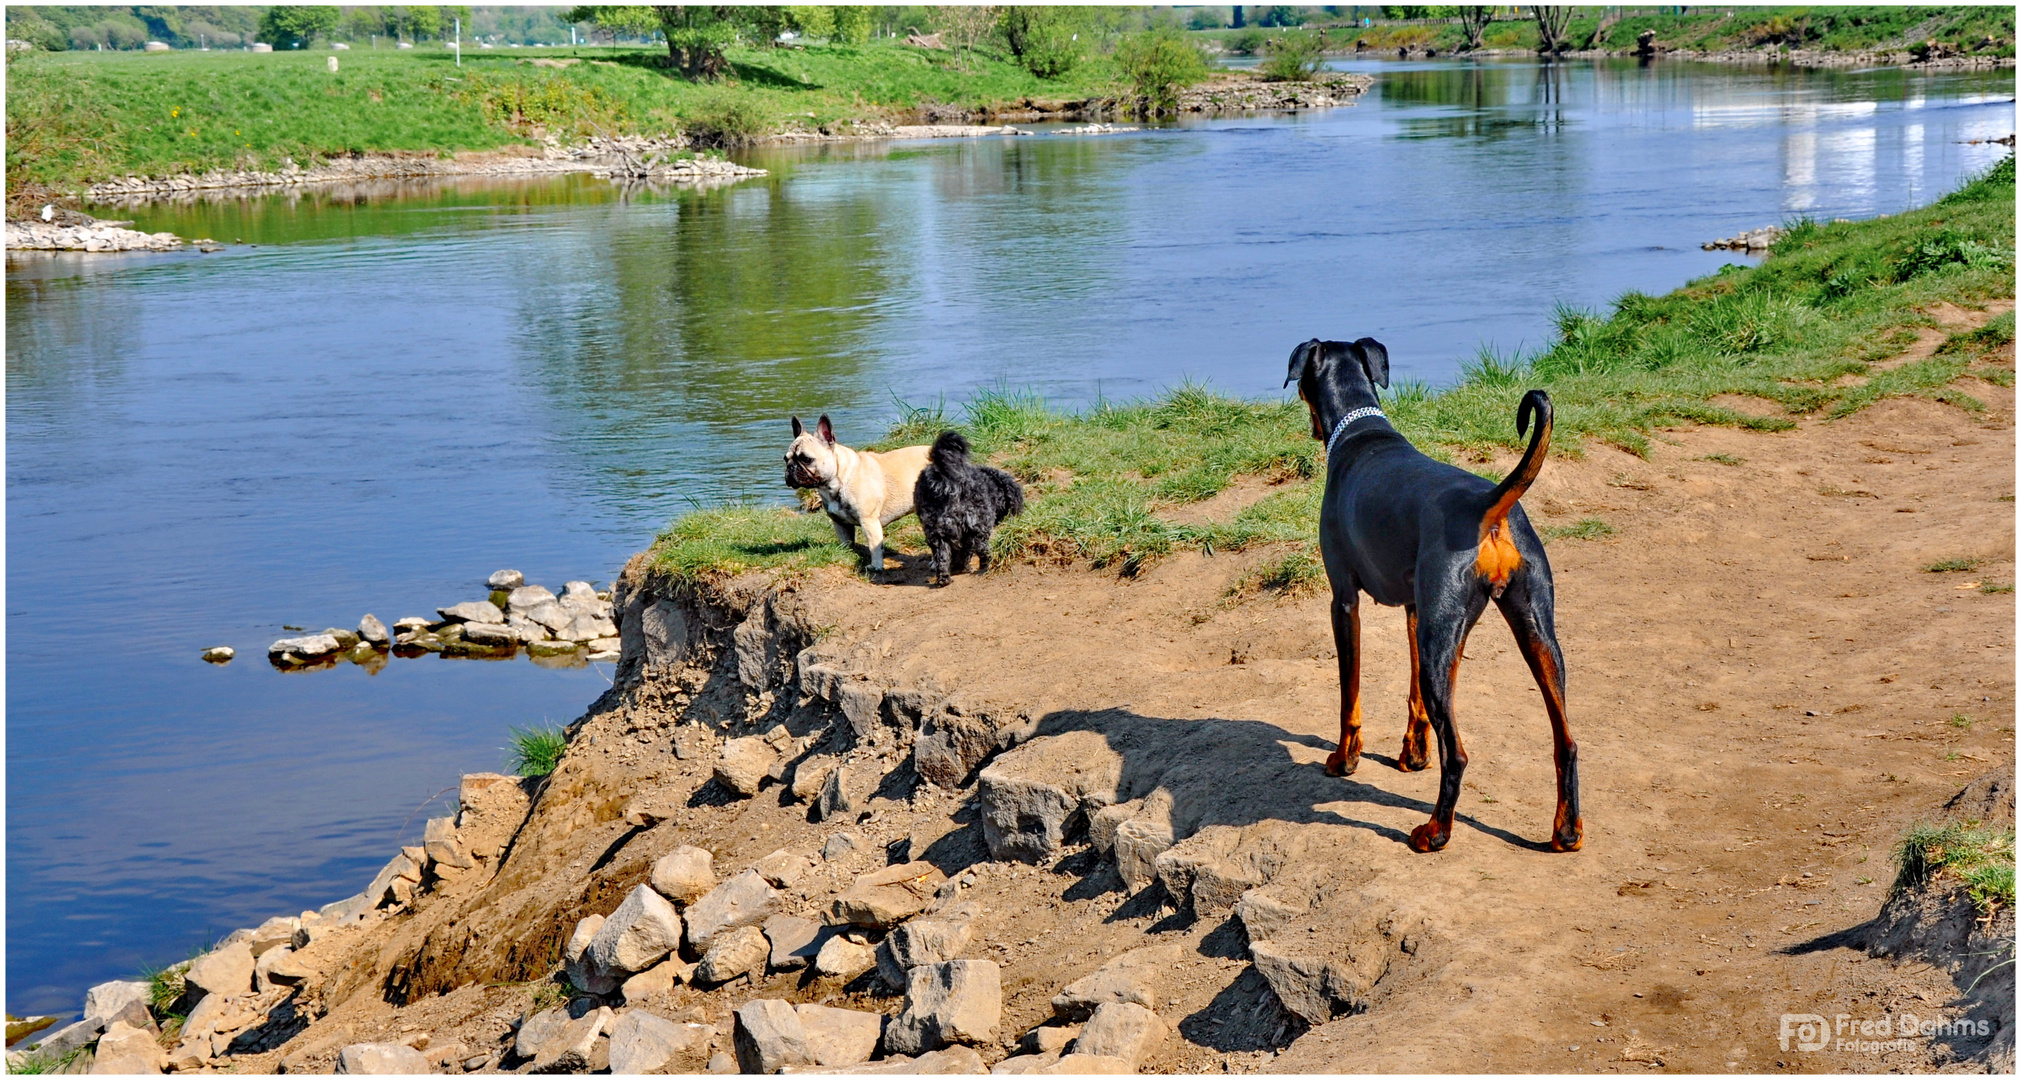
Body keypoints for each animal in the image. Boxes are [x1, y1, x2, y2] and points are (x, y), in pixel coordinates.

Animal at [917, 432, 1026, 590]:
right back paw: (983, 565)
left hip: (936, 530)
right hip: (977, 524)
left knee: (942, 556)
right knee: (981, 549)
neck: (992, 484)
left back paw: (945, 578)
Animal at [1293, 339, 1576, 853]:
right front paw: (1413, 755)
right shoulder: (1414, 609)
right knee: (1565, 740)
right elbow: (1413, 699)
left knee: (1459, 754)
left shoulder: (1343, 600)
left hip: (1442, 642)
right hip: (1524, 635)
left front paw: (1344, 760)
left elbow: (1349, 695)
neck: (1361, 431)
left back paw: (1435, 831)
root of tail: (1487, 508)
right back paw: (1567, 831)